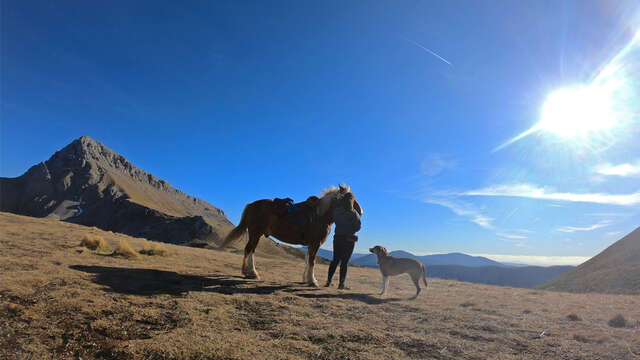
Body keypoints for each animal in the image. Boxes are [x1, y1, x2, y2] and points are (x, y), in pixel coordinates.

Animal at [219, 186, 360, 286]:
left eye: (352, 200)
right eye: (344, 198)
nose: (352, 214)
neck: (320, 215)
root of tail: (251, 205)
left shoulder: (310, 244)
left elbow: (307, 259)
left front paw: (306, 279)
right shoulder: (315, 243)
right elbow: (312, 260)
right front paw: (312, 281)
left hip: (255, 234)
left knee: (250, 250)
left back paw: (248, 272)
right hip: (255, 233)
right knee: (249, 250)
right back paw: (252, 273)